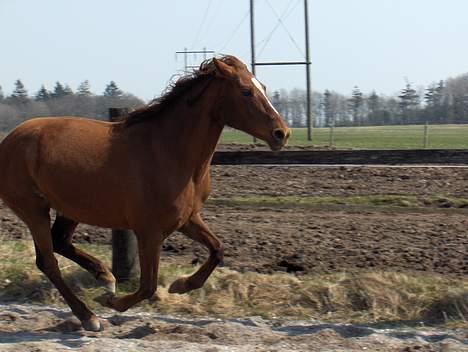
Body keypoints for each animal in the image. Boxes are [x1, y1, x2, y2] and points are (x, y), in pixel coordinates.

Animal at [0, 55, 288, 330]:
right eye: (246, 91)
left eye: (263, 87)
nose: (282, 133)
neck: (169, 152)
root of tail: (8, 140)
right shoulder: (149, 230)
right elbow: (148, 285)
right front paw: (112, 302)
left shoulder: (186, 219)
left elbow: (218, 249)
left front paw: (180, 285)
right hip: (33, 209)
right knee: (48, 261)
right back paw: (89, 316)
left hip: (70, 208)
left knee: (59, 241)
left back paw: (105, 276)